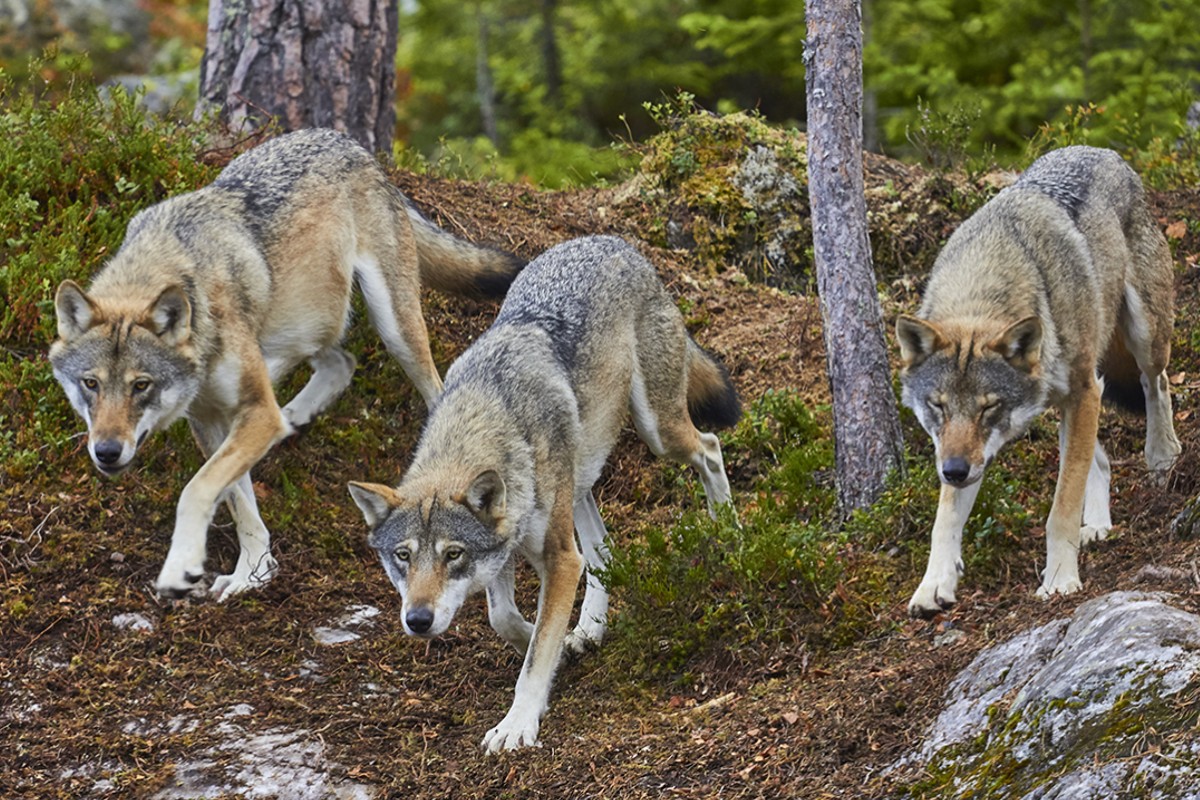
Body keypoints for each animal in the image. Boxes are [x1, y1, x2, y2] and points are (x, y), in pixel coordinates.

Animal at [49, 127, 523, 602]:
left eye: (141, 385)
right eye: (90, 384)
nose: (106, 452)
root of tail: (349, 143)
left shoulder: (252, 414)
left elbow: (197, 489)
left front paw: (181, 568)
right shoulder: (212, 420)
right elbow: (239, 502)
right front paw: (252, 573)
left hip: (393, 328)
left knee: (430, 389)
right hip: (303, 324)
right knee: (340, 362)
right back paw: (293, 416)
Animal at [347, 235, 740, 752]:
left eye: (452, 554)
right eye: (402, 556)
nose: (417, 620)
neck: (486, 414)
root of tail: (614, 242)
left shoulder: (558, 558)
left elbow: (535, 656)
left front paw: (517, 723)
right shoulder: (507, 549)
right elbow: (505, 619)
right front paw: (552, 641)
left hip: (659, 433)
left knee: (710, 448)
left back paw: (730, 533)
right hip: (580, 477)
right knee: (603, 549)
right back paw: (589, 628)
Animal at [896, 145, 1181, 618]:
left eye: (988, 407)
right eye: (938, 406)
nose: (953, 471)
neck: (986, 284)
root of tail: (1104, 151)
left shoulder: (1085, 390)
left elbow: (1061, 507)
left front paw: (1061, 579)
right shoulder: (969, 449)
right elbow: (945, 519)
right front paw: (933, 585)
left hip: (1141, 339)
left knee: (1156, 385)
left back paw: (1162, 458)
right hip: (1067, 401)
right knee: (1100, 460)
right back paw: (1098, 525)